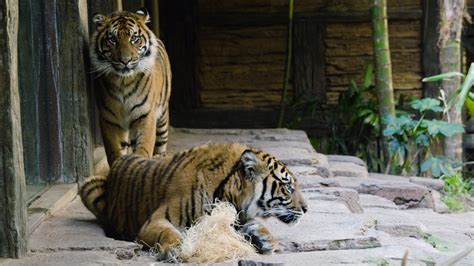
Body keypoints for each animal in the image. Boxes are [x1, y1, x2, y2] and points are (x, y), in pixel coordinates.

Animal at [80, 143, 310, 258]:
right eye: (289, 187)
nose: (307, 209)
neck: (230, 195)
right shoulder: (155, 221)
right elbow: (168, 232)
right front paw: (175, 248)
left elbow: (254, 224)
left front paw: (266, 239)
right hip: (87, 184)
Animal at [90, 8, 171, 166]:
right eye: (112, 40)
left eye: (134, 38)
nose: (125, 60)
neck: (123, 81)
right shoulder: (109, 119)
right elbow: (114, 151)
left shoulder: (145, 114)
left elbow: (144, 146)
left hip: (162, 117)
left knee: (161, 144)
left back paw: (159, 157)